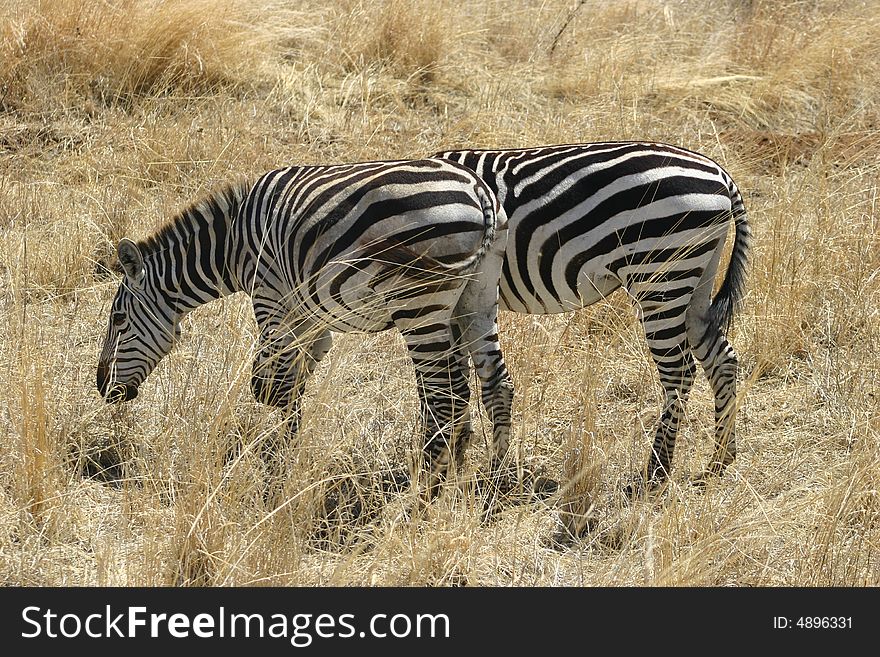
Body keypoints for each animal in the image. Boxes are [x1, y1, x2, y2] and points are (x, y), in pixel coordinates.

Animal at [94, 159, 516, 498]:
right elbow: (292, 382)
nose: (103, 388)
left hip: (418, 304)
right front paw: (284, 453)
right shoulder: (310, 316)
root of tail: (479, 191)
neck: (231, 245)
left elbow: (270, 386)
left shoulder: (270, 298)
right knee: (495, 384)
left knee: (445, 396)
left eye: (118, 320)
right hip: (476, 298)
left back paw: (426, 489)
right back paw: (488, 478)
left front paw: (277, 470)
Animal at [434, 142, 748, 492]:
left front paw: (447, 453)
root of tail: (719, 173)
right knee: (722, 358)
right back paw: (720, 458)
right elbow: (457, 378)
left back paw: (655, 472)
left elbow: (447, 381)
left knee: (679, 373)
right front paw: (457, 448)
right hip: (695, 279)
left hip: (660, 277)